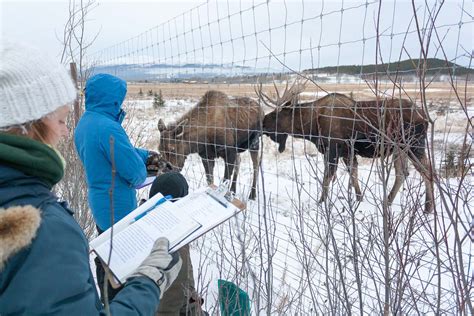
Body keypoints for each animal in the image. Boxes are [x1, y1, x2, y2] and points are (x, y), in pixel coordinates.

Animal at [260, 82, 434, 214]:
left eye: (276, 115)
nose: (262, 122)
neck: (312, 127)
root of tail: (426, 118)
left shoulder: (333, 149)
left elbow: (327, 177)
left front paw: (321, 202)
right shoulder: (347, 152)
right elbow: (353, 173)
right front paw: (359, 198)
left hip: (414, 144)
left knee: (427, 171)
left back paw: (428, 208)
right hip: (399, 149)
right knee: (402, 173)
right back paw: (388, 202)